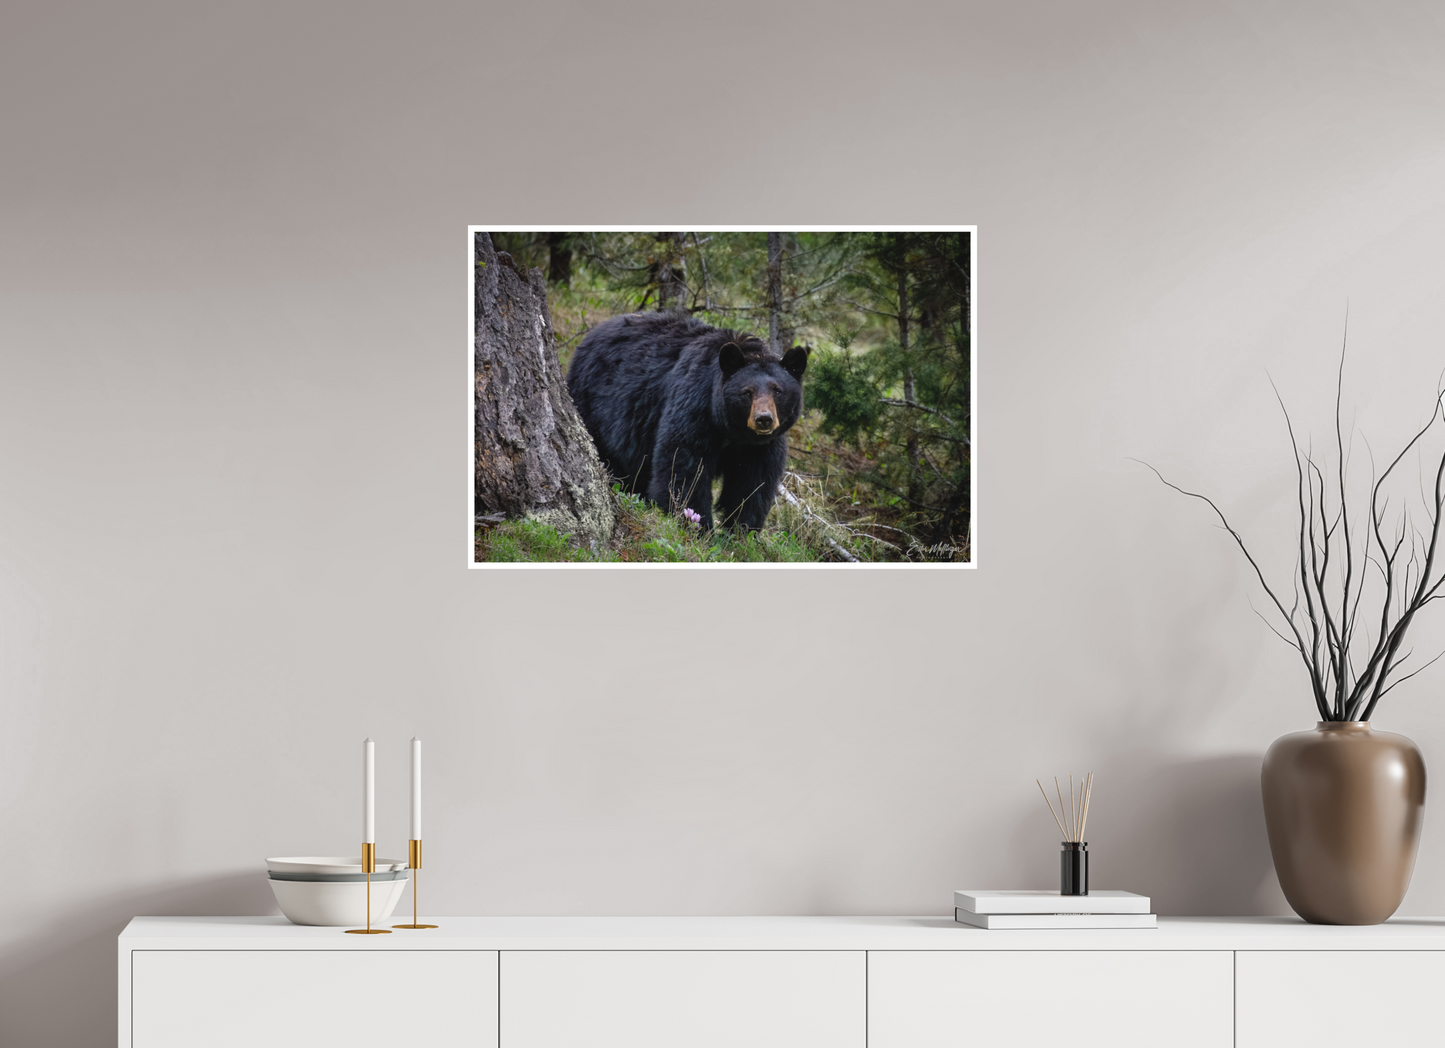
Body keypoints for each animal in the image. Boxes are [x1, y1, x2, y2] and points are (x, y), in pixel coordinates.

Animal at [566, 311, 808, 531]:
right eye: (747, 392)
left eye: (778, 391)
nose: (763, 420)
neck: (732, 431)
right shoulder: (694, 406)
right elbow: (683, 465)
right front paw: (698, 526)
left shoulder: (760, 447)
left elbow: (752, 483)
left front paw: (742, 531)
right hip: (593, 403)